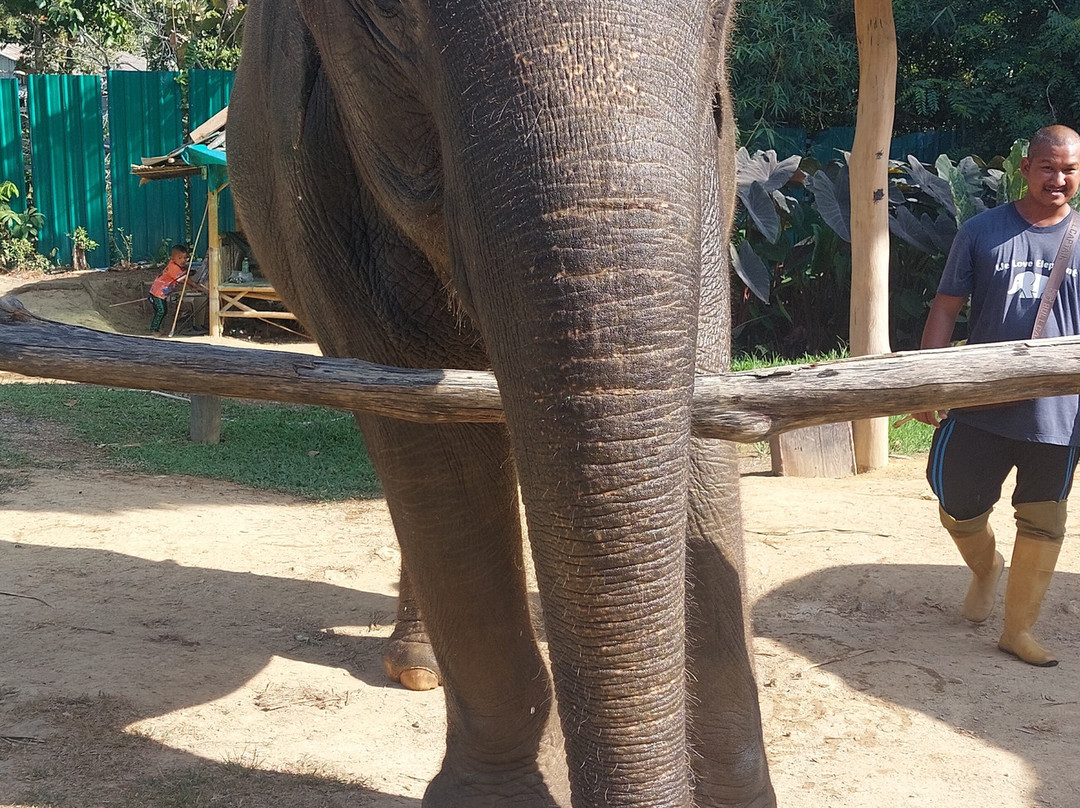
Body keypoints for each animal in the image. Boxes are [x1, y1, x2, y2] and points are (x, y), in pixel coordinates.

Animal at [229, 0, 775, 805]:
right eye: (388, 12)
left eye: (723, 12)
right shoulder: (319, 191)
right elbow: (431, 451)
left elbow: (702, 417)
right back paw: (416, 668)